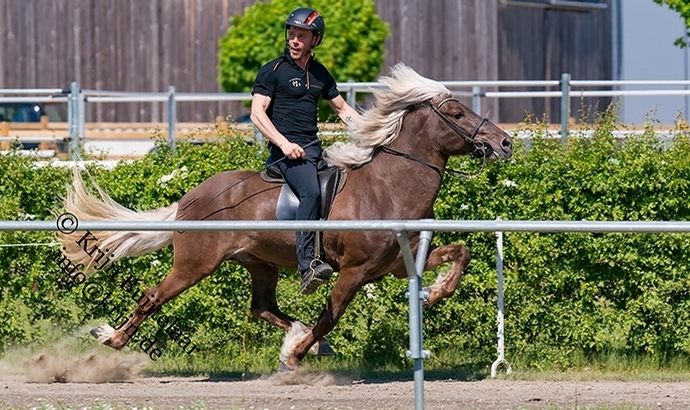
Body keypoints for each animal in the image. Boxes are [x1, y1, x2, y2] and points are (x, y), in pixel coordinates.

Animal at [59, 63, 510, 372]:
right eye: (457, 113)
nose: (504, 143)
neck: (387, 188)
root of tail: (191, 198)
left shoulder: (400, 264)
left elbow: (462, 252)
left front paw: (434, 293)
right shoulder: (354, 271)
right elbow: (330, 317)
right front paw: (295, 356)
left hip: (260, 263)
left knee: (261, 307)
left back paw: (292, 331)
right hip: (194, 264)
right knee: (153, 297)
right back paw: (112, 339)